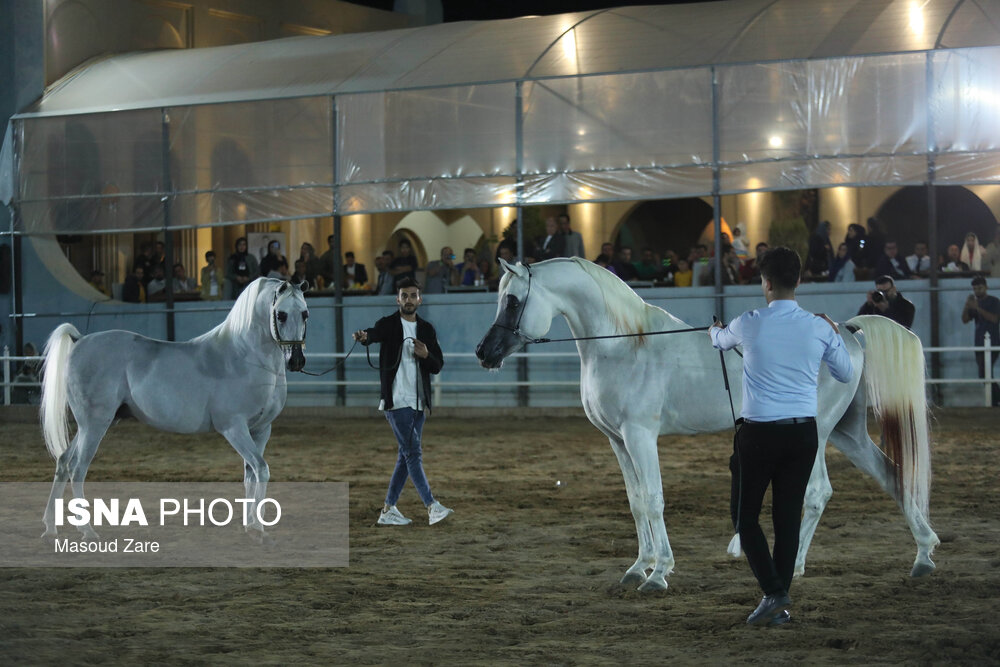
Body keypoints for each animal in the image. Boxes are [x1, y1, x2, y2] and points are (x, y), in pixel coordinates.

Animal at [38, 280, 308, 540]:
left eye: (305, 313)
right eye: (281, 314)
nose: (296, 360)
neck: (244, 358)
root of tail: (80, 340)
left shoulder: (261, 430)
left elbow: (251, 475)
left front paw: (251, 525)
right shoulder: (234, 428)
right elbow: (262, 469)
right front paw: (258, 529)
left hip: (90, 426)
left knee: (63, 462)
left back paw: (50, 528)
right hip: (94, 425)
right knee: (77, 469)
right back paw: (88, 531)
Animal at [476, 258, 936, 592]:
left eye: (513, 301)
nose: (484, 352)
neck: (624, 344)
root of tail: (847, 333)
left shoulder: (641, 436)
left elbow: (655, 499)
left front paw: (659, 573)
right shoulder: (617, 441)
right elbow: (636, 501)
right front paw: (638, 567)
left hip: (816, 433)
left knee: (818, 492)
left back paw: (797, 566)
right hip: (846, 433)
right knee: (893, 474)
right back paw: (924, 555)